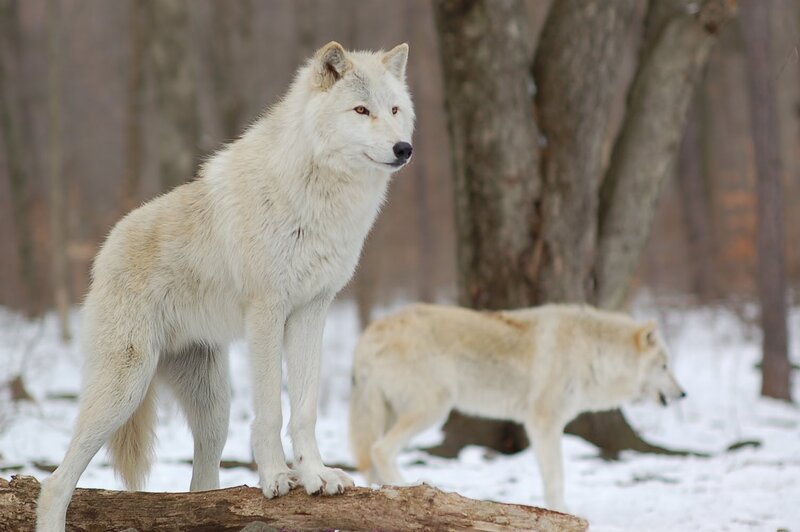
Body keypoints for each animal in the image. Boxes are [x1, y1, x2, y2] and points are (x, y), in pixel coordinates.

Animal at [36, 41, 414, 531]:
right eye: (361, 110)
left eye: (395, 109)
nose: (403, 148)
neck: (318, 194)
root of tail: (103, 253)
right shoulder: (268, 312)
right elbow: (271, 410)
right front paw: (275, 478)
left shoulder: (312, 310)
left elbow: (304, 410)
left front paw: (315, 476)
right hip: (123, 391)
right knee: (54, 483)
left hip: (214, 409)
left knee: (200, 489)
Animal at [349, 303, 685, 511]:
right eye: (665, 366)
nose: (683, 394)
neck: (595, 353)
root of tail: (368, 334)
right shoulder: (544, 423)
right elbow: (556, 478)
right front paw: (563, 512)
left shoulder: (539, 427)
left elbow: (549, 477)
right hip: (433, 408)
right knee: (380, 450)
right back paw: (409, 488)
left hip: (395, 413)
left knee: (370, 457)